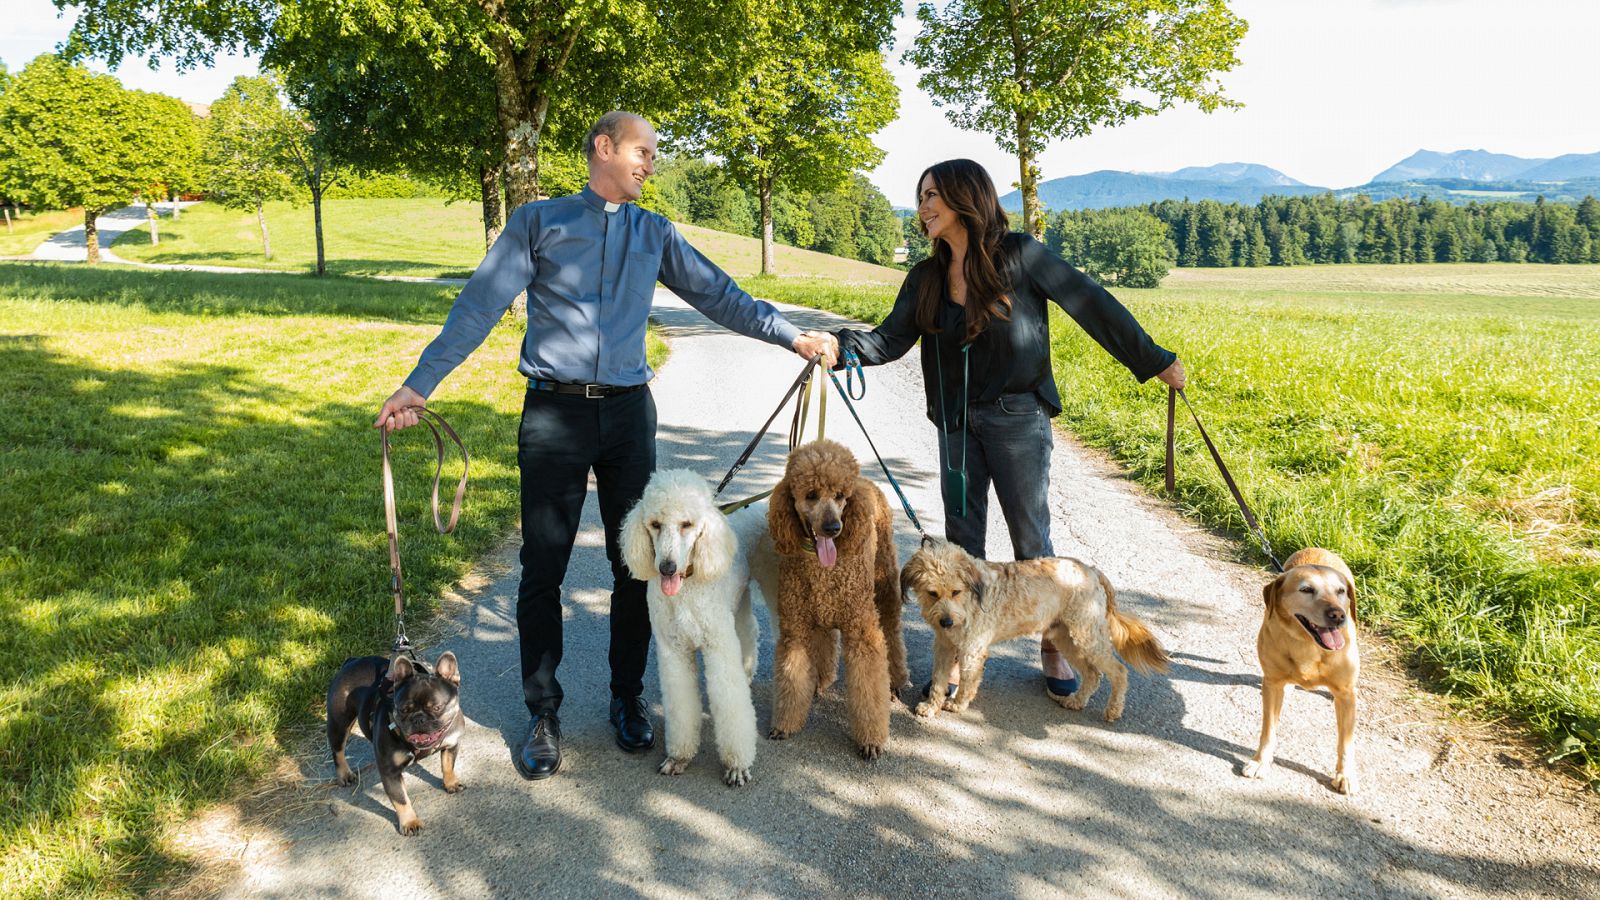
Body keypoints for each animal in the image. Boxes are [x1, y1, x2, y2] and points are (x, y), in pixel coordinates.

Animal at [764, 438, 908, 752]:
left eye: (841, 496)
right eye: (811, 495)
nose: (833, 528)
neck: (824, 569)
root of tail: (868, 483)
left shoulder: (862, 632)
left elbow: (869, 685)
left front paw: (871, 740)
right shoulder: (796, 629)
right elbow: (792, 677)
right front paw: (785, 724)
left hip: (885, 588)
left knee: (892, 633)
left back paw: (896, 681)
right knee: (825, 641)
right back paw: (820, 680)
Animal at [902, 534, 1177, 717]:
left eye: (956, 591)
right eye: (932, 593)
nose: (946, 621)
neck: (971, 598)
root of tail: (1091, 570)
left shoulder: (972, 650)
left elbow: (969, 681)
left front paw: (957, 704)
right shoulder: (944, 646)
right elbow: (938, 679)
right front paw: (932, 705)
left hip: (1087, 636)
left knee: (1118, 671)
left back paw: (1113, 710)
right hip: (1067, 637)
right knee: (1092, 674)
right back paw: (1076, 701)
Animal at [1248, 547, 1363, 791]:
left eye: (1340, 591)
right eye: (1306, 590)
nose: (1338, 615)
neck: (1308, 645)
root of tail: (1318, 548)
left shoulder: (1346, 694)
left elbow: (1346, 742)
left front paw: (1345, 775)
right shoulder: (1272, 684)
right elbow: (1268, 730)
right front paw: (1261, 762)